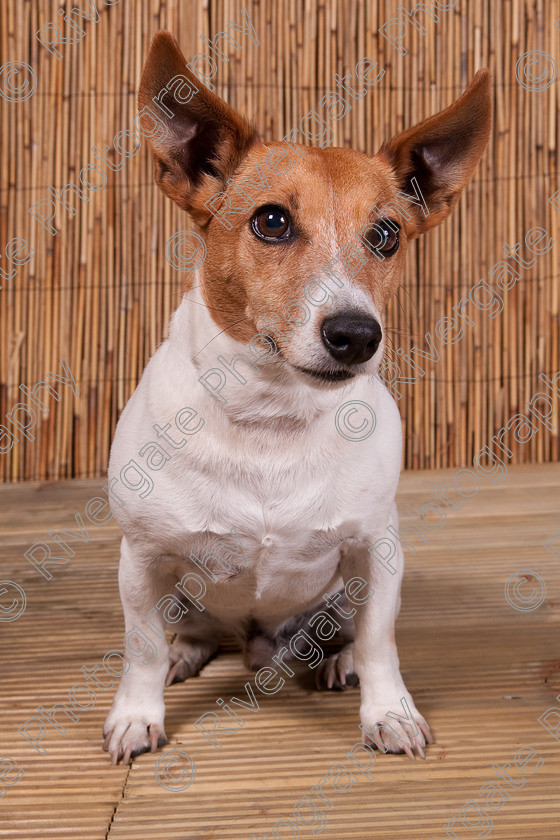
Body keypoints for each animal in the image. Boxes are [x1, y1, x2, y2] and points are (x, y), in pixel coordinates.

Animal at [103, 31, 492, 768]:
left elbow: (382, 641)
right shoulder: (141, 558)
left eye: (386, 235)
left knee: (346, 633)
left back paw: (336, 662)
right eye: (272, 221)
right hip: (181, 591)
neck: (271, 415)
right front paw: (138, 714)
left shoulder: (378, 550)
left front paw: (388, 711)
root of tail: (257, 643)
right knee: (188, 632)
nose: (356, 334)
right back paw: (185, 653)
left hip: (340, 595)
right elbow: (139, 648)